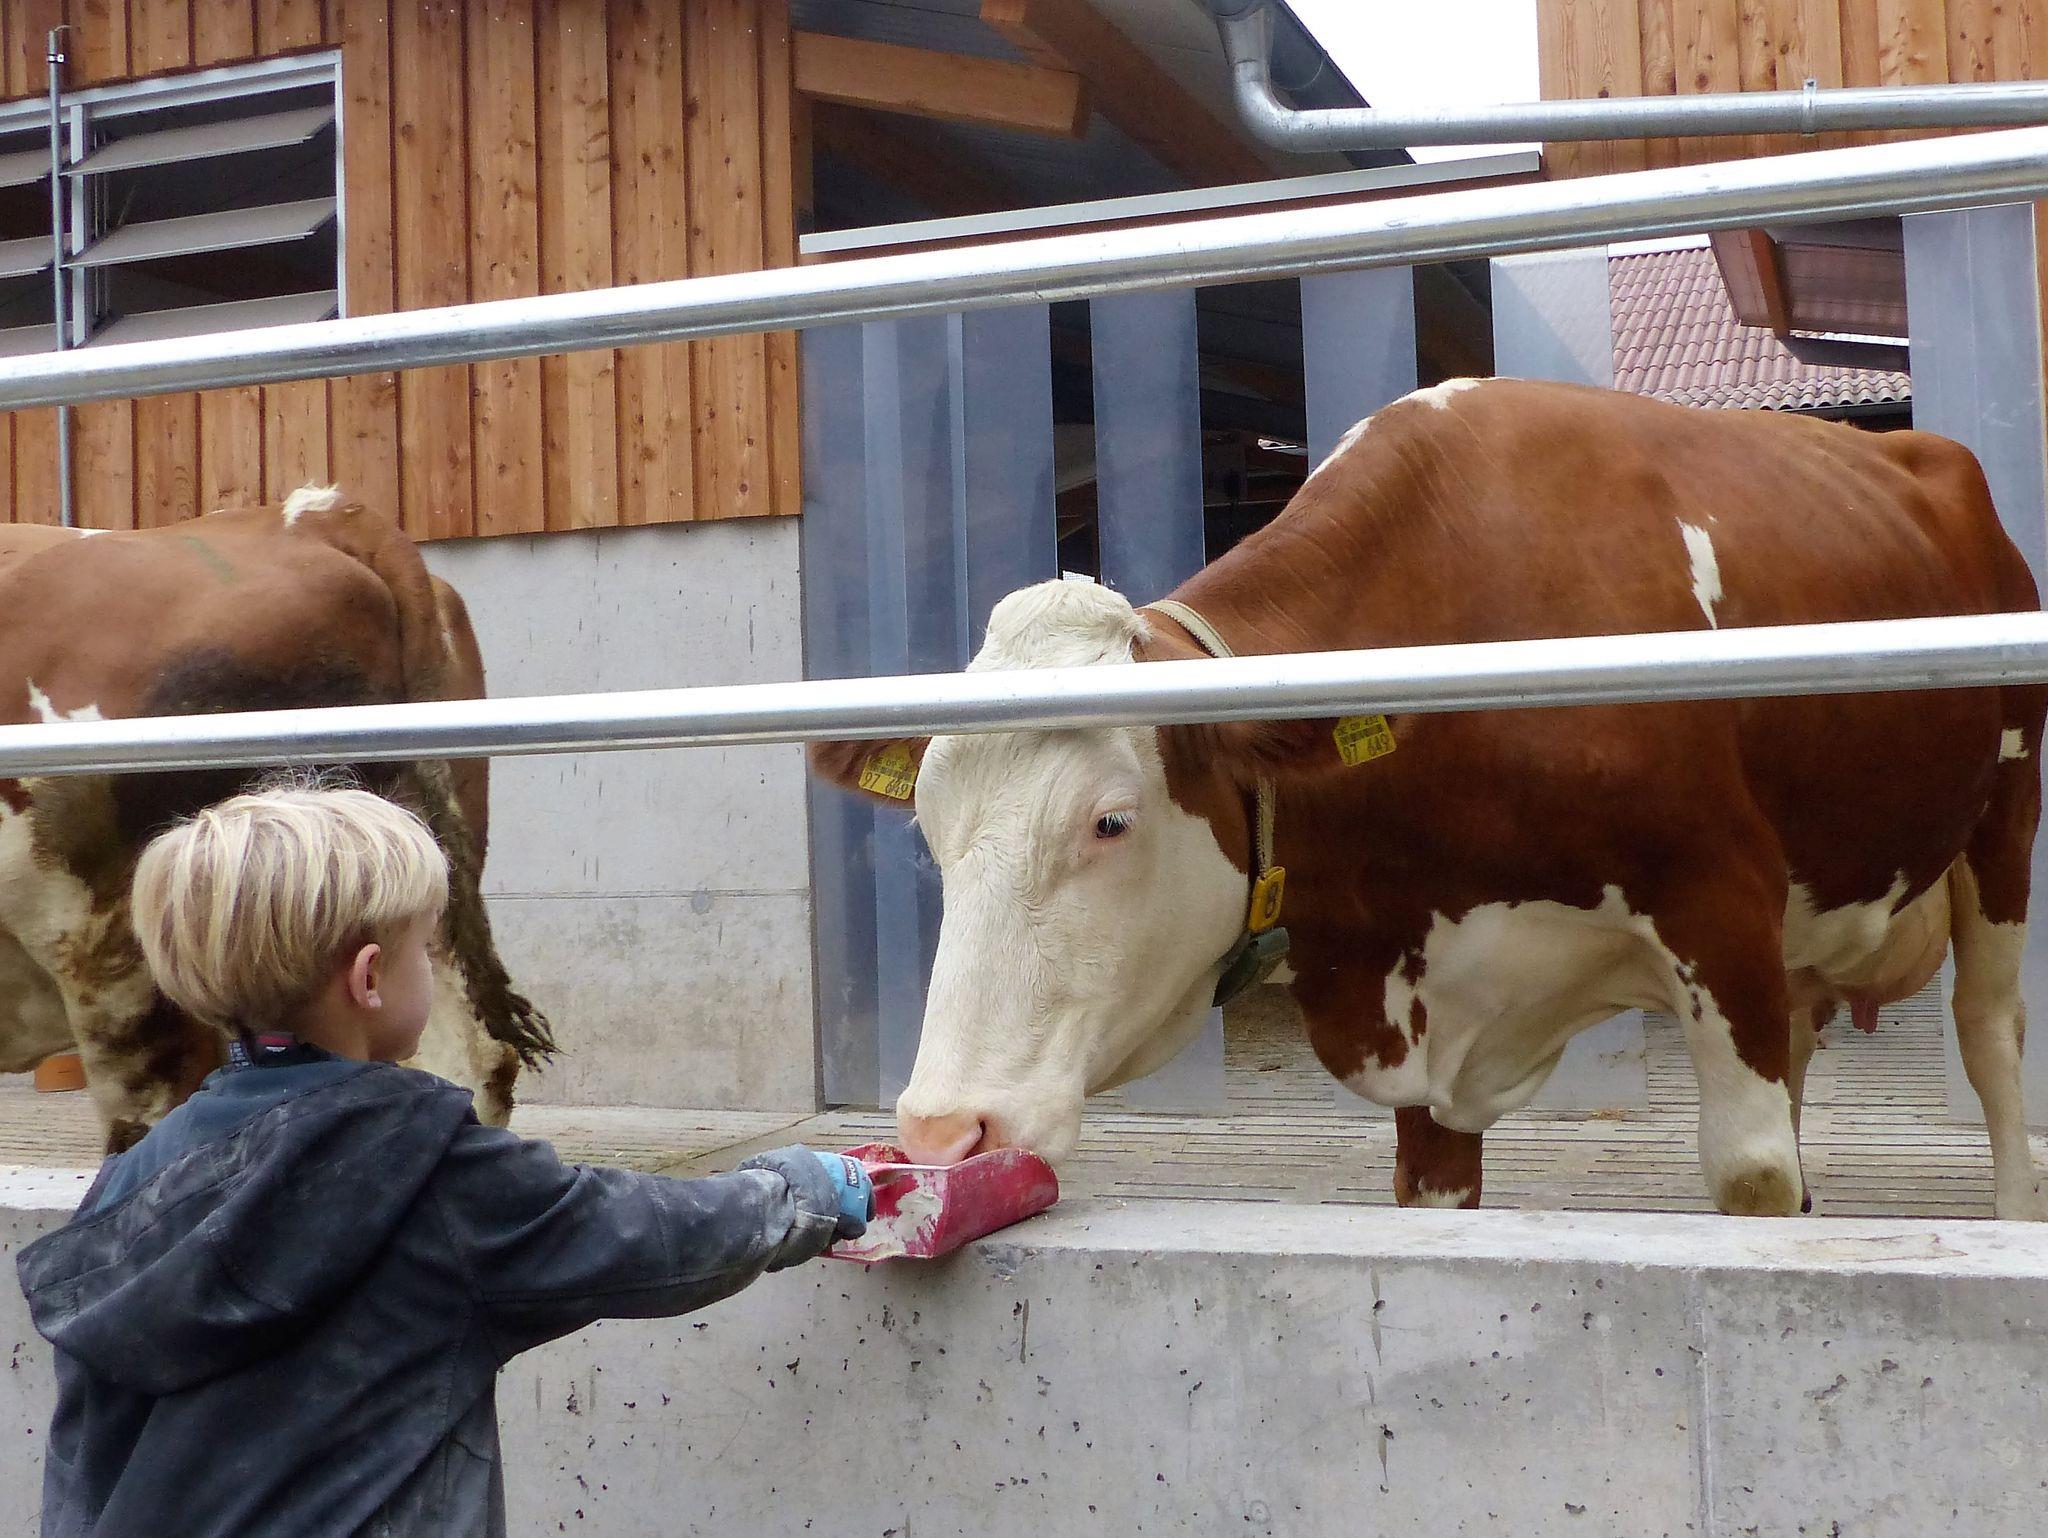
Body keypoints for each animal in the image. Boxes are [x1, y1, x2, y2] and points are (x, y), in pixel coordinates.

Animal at [813, 378, 2048, 1220]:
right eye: (929, 833)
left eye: (1109, 820)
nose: (941, 1129)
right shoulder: (1425, 997)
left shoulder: (1718, 903)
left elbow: (1749, 1174)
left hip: (2005, 808)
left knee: (1988, 1033)